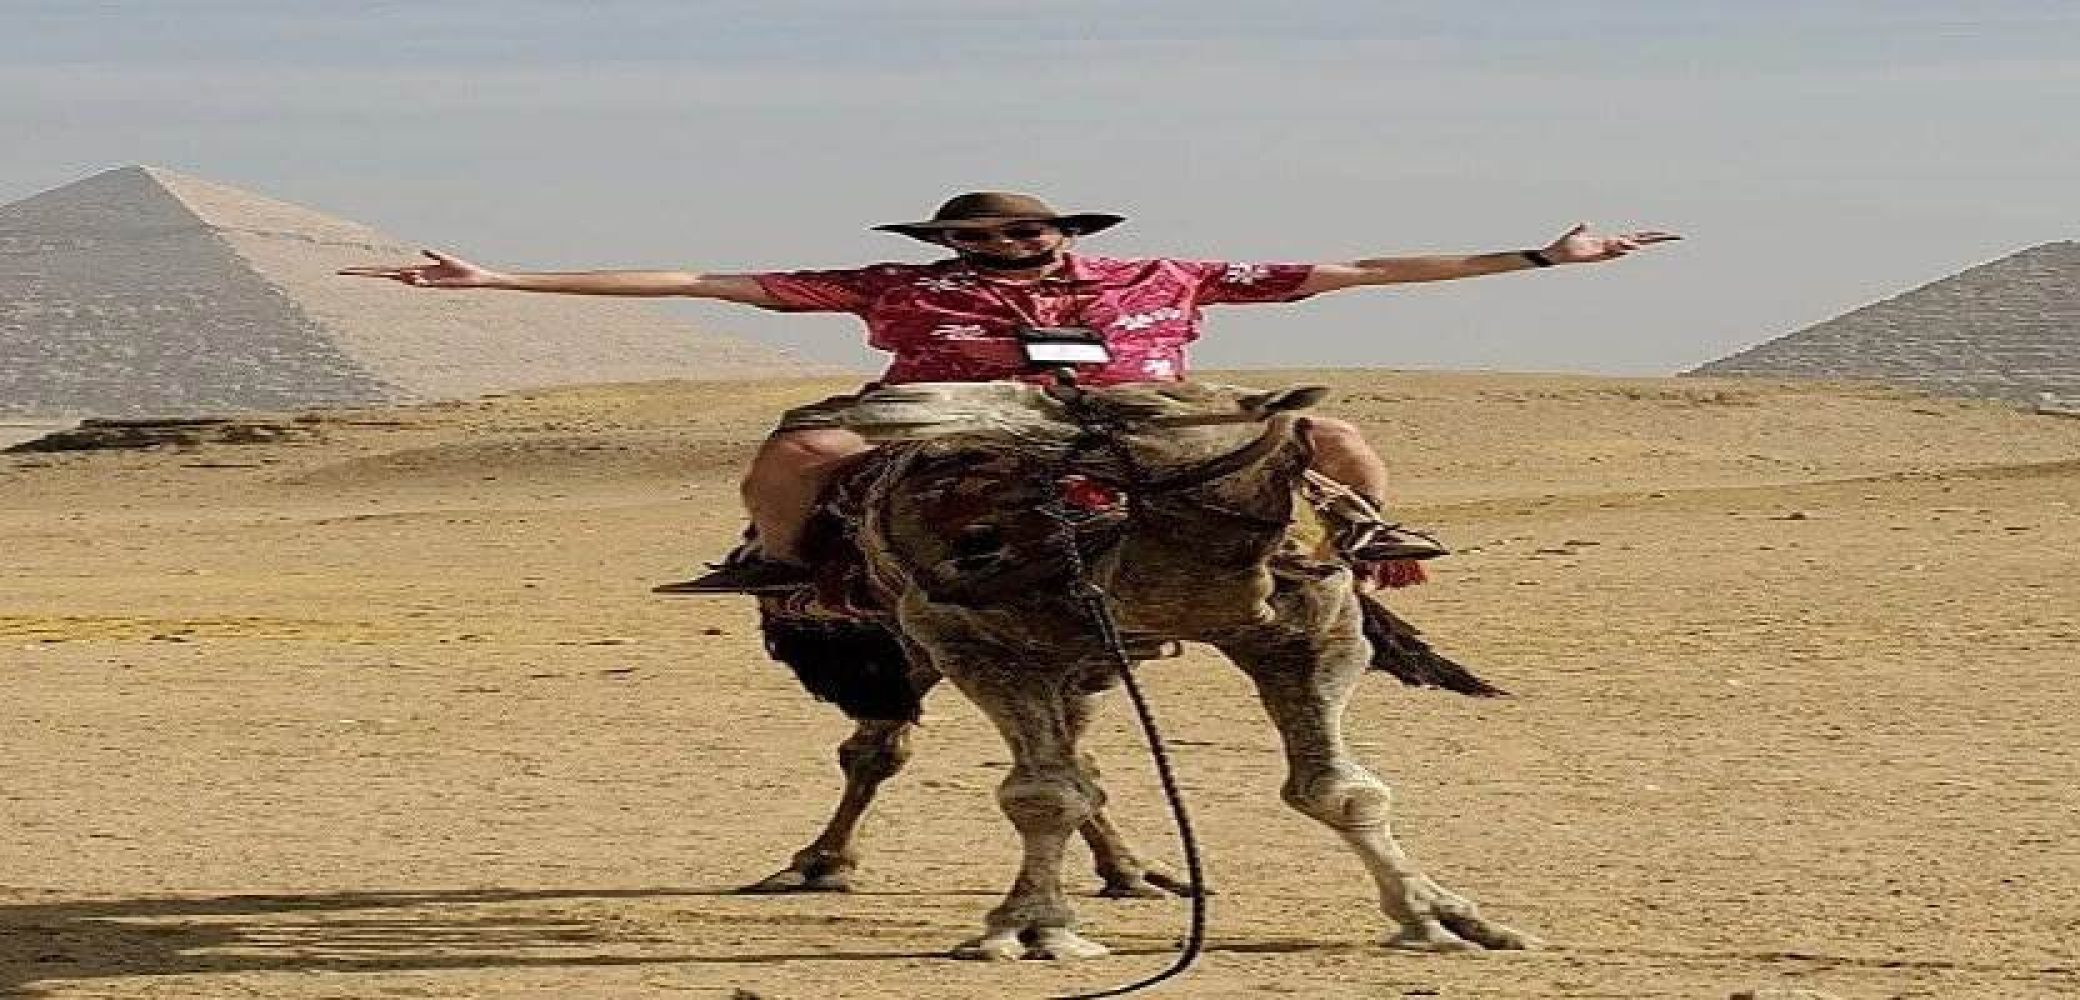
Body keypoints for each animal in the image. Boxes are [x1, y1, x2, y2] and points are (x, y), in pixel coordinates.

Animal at [743, 380, 1536, 960]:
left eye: (1121, 407)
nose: (869, 407)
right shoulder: (968, 637)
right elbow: (1043, 793)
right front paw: (1031, 928)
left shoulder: (1312, 627)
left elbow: (1340, 790)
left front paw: (1444, 917)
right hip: (899, 643)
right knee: (887, 745)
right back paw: (815, 863)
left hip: (1075, 659)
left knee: (1064, 756)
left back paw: (1131, 873)